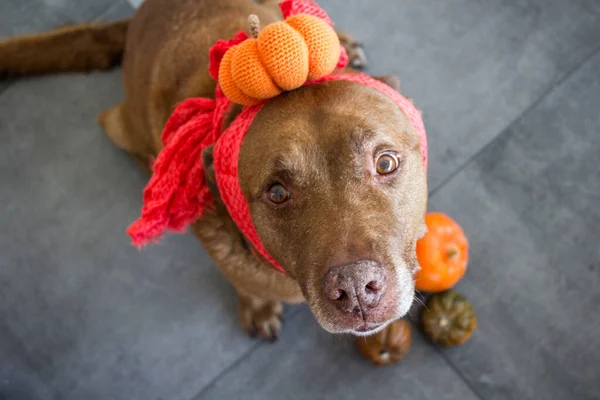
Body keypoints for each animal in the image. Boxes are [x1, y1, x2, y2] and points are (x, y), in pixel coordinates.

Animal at [2, 0, 428, 340]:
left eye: (385, 162)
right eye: (276, 192)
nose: (355, 288)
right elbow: (243, 282)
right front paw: (257, 305)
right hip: (121, 123)